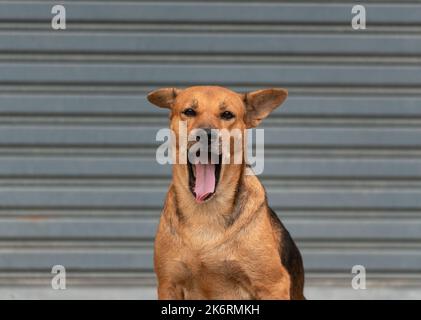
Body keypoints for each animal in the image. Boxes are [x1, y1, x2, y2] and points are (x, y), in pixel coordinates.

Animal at [148, 85, 306, 300]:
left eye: (227, 115)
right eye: (189, 111)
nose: (206, 135)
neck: (205, 213)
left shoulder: (272, 285)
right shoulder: (168, 285)